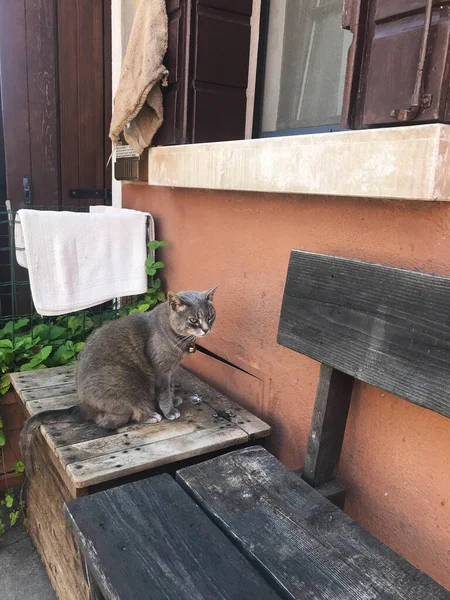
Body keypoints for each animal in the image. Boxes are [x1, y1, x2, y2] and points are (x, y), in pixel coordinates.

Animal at [20, 288, 217, 476]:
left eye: (210, 316)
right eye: (193, 320)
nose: (206, 329)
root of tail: (82, 407)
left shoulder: (171, 370)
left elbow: (170, 388)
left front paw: (175, 400)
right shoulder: (162, 370)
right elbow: (164, 393)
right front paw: (170, 411)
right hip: (126, 380)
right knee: (111, 420)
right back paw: (150, 416)